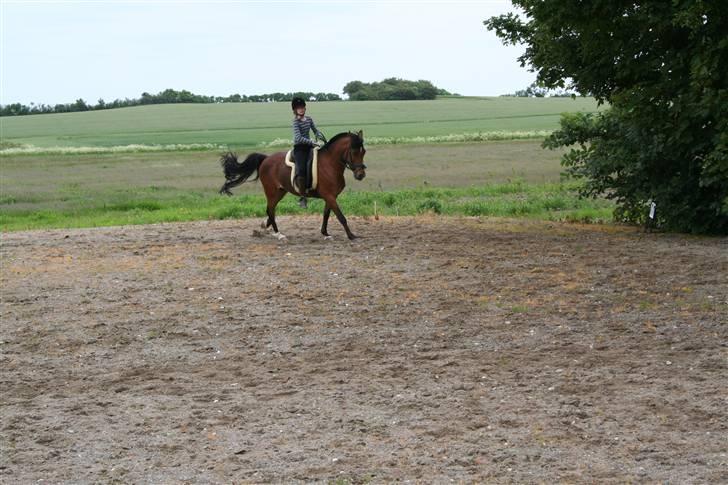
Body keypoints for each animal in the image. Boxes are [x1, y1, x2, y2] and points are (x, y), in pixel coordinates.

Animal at [218, 130, 366, 240]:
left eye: (363, 152)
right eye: (354, 152)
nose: (361, 175)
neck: (330, 164)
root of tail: (265, 159)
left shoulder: (330, 196)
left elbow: (326, 214)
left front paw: (325, 233)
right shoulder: (329, 196)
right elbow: (341, 216)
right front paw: (351, 235)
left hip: (280, 191)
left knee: (270, 211)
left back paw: (265, 225)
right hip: (271, 192)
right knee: (270, 210)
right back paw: (278, 234)